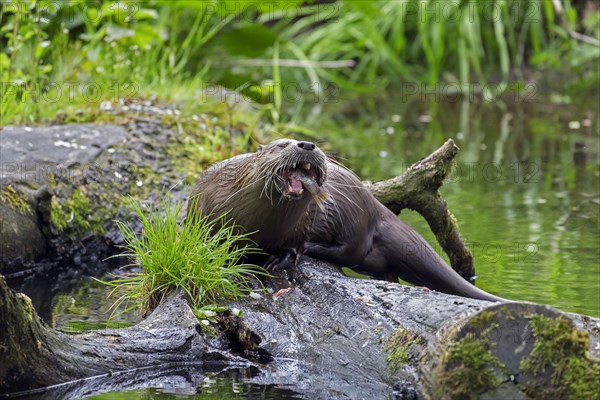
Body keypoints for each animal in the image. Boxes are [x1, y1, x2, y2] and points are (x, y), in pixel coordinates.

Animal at [191, 139, 502, 302]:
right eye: (281, 144)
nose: (307, 144)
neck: (261, 226)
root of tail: (376, 206)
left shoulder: (302, 225)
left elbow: (294, 245)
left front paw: (281, 257)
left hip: (353, 216)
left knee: (354, 249)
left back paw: (315, 248)